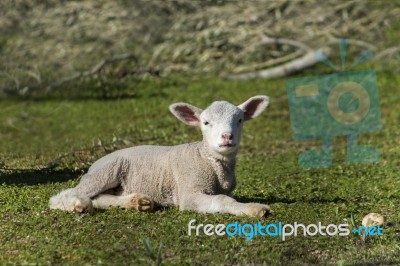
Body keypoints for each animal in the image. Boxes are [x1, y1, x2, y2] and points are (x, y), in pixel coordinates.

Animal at [48, 96, 270, 217]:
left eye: (240, 120)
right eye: (206, 123)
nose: (227, 137)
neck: (205, 157)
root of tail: (94, 164)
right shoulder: (188, 192)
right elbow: (223, 200)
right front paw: (255, 209)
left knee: (100, 198)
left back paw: (137, 202)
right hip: (106, 171)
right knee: (65, 195)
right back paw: (78, 205)